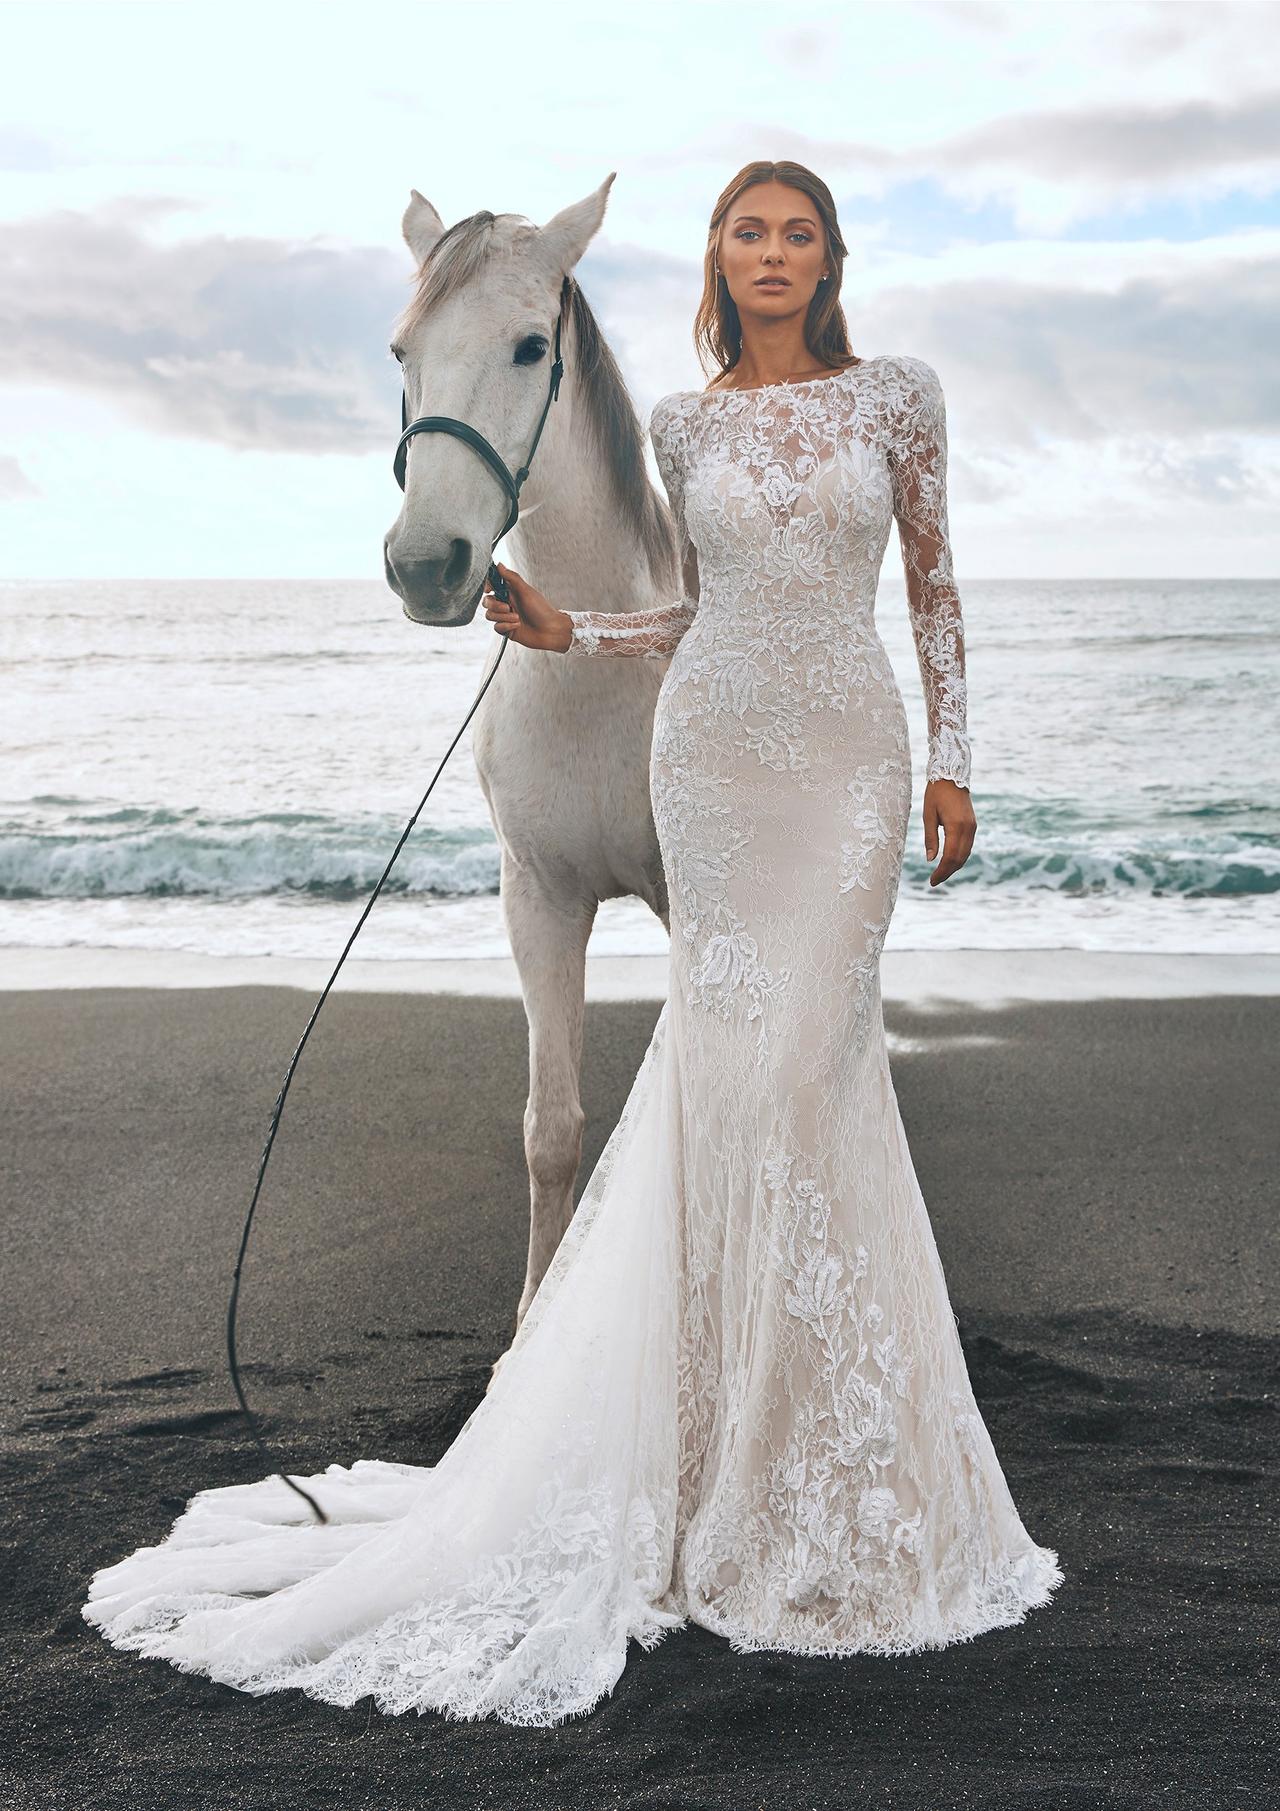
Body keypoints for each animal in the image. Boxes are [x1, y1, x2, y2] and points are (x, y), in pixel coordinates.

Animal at [383, 172, 677, 1332]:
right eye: (402, 351)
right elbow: (549, 1133)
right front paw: (532, 1330)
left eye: (527, 347)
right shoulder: (539, 898)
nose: (427, 566)